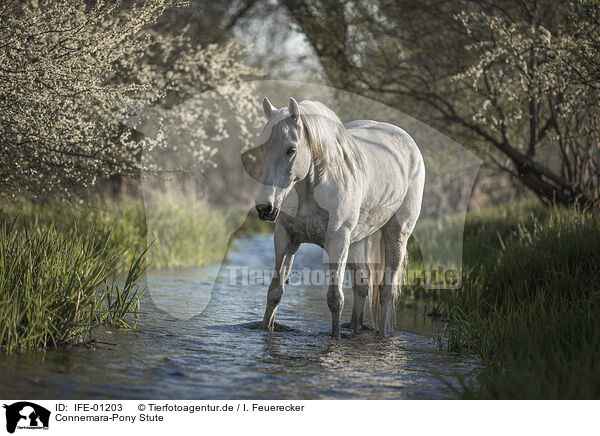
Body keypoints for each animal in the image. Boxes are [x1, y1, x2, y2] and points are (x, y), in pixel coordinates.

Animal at [253, 98, 426, 338]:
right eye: (263, 149)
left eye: (291, 150)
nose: (265, 208)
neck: (311, 189)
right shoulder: (286, 237)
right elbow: (275, 291)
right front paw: (264, 330)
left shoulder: (337, 240)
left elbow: (335, 299)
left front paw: (335, 338)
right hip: (356, 240)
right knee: (363, 283)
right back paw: (356, 329)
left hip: (396, 235)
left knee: (386, 291)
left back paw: (381, 334)